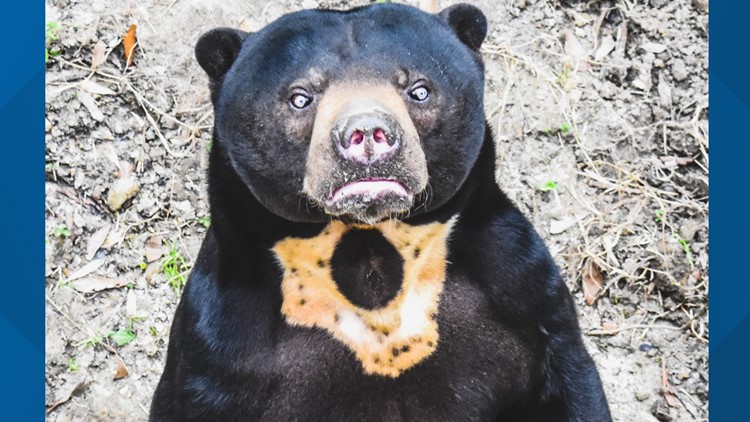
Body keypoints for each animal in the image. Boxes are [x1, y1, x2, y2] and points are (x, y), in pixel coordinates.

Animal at [150, 3, 612, 421]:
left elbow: (568, 384)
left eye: (419, 90)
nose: (368, 133)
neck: (368, 245)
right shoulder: (223, 347)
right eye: (301, 97)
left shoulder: (523, 297)